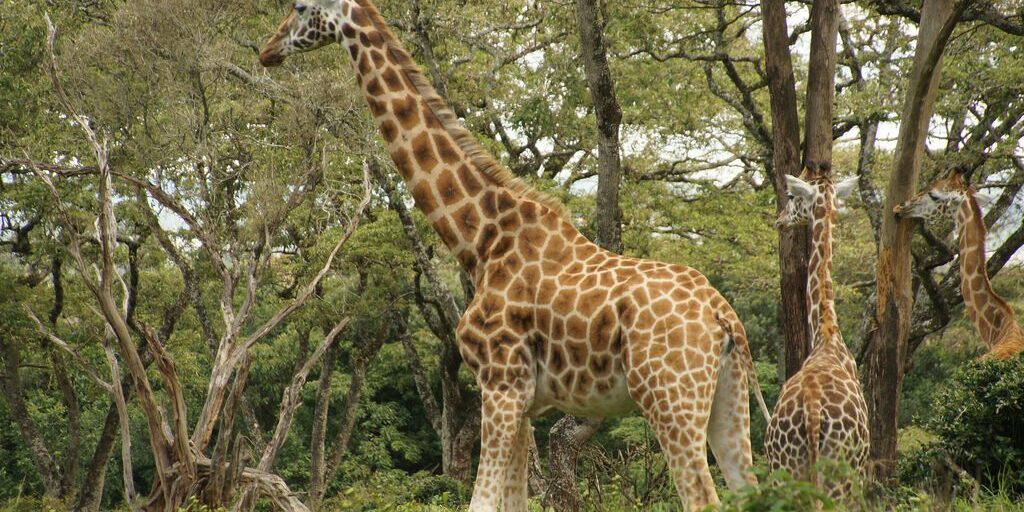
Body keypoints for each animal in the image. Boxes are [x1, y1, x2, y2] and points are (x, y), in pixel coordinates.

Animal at [258, 1, 770, 510]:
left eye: (300, 8)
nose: (267, 50)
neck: (479, 240)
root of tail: (723, 315)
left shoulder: (500, 383)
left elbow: (481, 501)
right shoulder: (523, 401)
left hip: (668, 396)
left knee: (702, 495)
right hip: (727, 399)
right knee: (750, 484)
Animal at [764, 162, 869, 502]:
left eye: (792, 197)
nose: (779, 218)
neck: (827, 334)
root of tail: (811, 409)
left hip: (786, 468)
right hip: (839, 471)